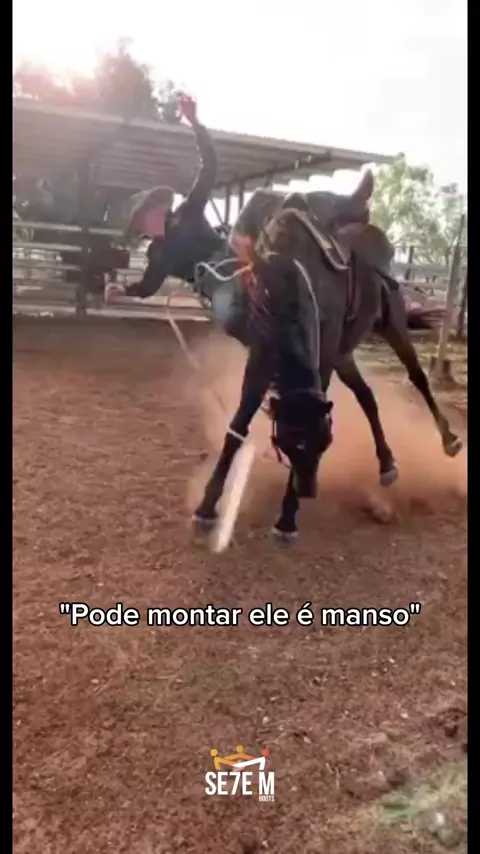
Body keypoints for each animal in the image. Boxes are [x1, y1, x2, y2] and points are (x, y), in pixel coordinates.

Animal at [191, 176, 462, 541]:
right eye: (286, 443)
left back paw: (449, 440)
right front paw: (207, 506)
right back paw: (387, 465)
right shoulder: (262, 360)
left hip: (389, 323)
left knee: (417, 376)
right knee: (367, 396)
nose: (307, 491)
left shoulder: (321, 359)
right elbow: (237, 425)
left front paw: (287, 519)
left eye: (324, 444)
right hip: (345, 355)